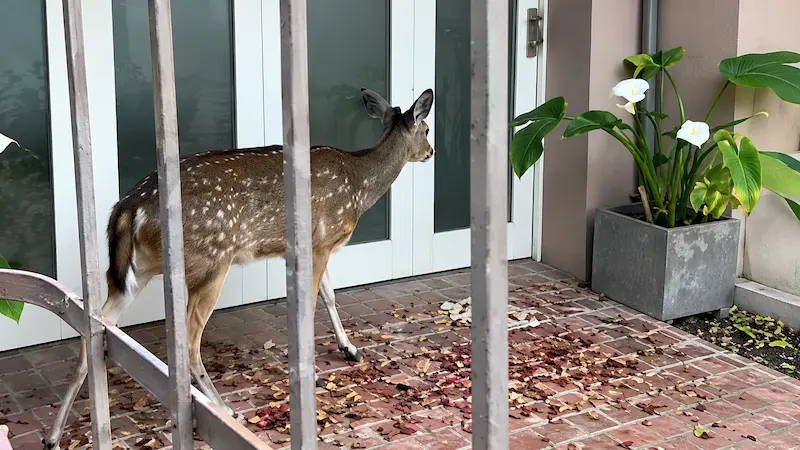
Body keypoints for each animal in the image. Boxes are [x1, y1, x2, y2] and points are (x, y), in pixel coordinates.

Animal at [42, 87, 434, 449]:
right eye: (427, 128)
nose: (431, 152)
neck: (359, 186)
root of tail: (128, 207)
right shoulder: (322, 240)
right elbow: (317, 301)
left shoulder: (309, 247)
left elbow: (330, 294)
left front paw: (350, 349)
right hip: (211, 260)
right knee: (188, 340)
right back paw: (224, 409)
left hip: (136, 271)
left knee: (93, 329)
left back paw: (53, 435)